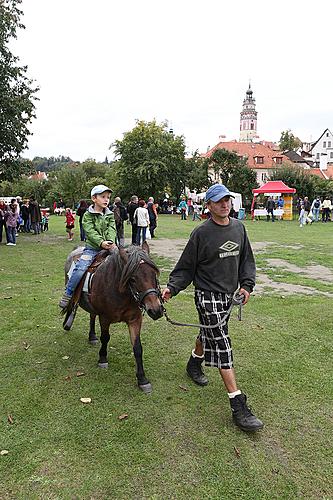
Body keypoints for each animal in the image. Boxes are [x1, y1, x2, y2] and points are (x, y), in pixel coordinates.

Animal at [63, 241, 163, 390]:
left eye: (154, 275)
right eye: (133, 279)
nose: (155, 310)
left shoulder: (135, 320)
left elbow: (137, 347)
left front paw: (142, 379)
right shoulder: (105, 318)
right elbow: (105, 338)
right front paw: (102, 359)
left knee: (92, 316)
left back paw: (92, 336)